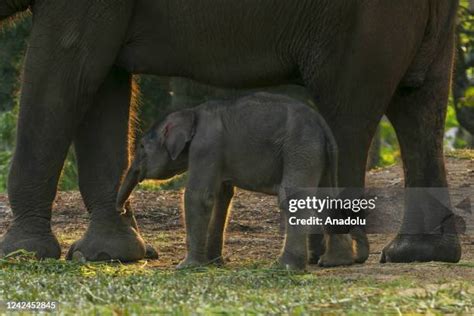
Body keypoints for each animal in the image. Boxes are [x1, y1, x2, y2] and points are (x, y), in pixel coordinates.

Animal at [115, 92, 352, 270]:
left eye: (141, 147)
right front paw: (214, 263)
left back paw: (285, 266)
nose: (121, 209)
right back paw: (334, 261)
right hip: (317, 154)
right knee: (326, 197)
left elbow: (199, 196)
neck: (192, 112)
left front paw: (186, 266)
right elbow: (222, 197)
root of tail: (322, 124)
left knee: (292, 197)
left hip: (300, 148)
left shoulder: (206, 146)